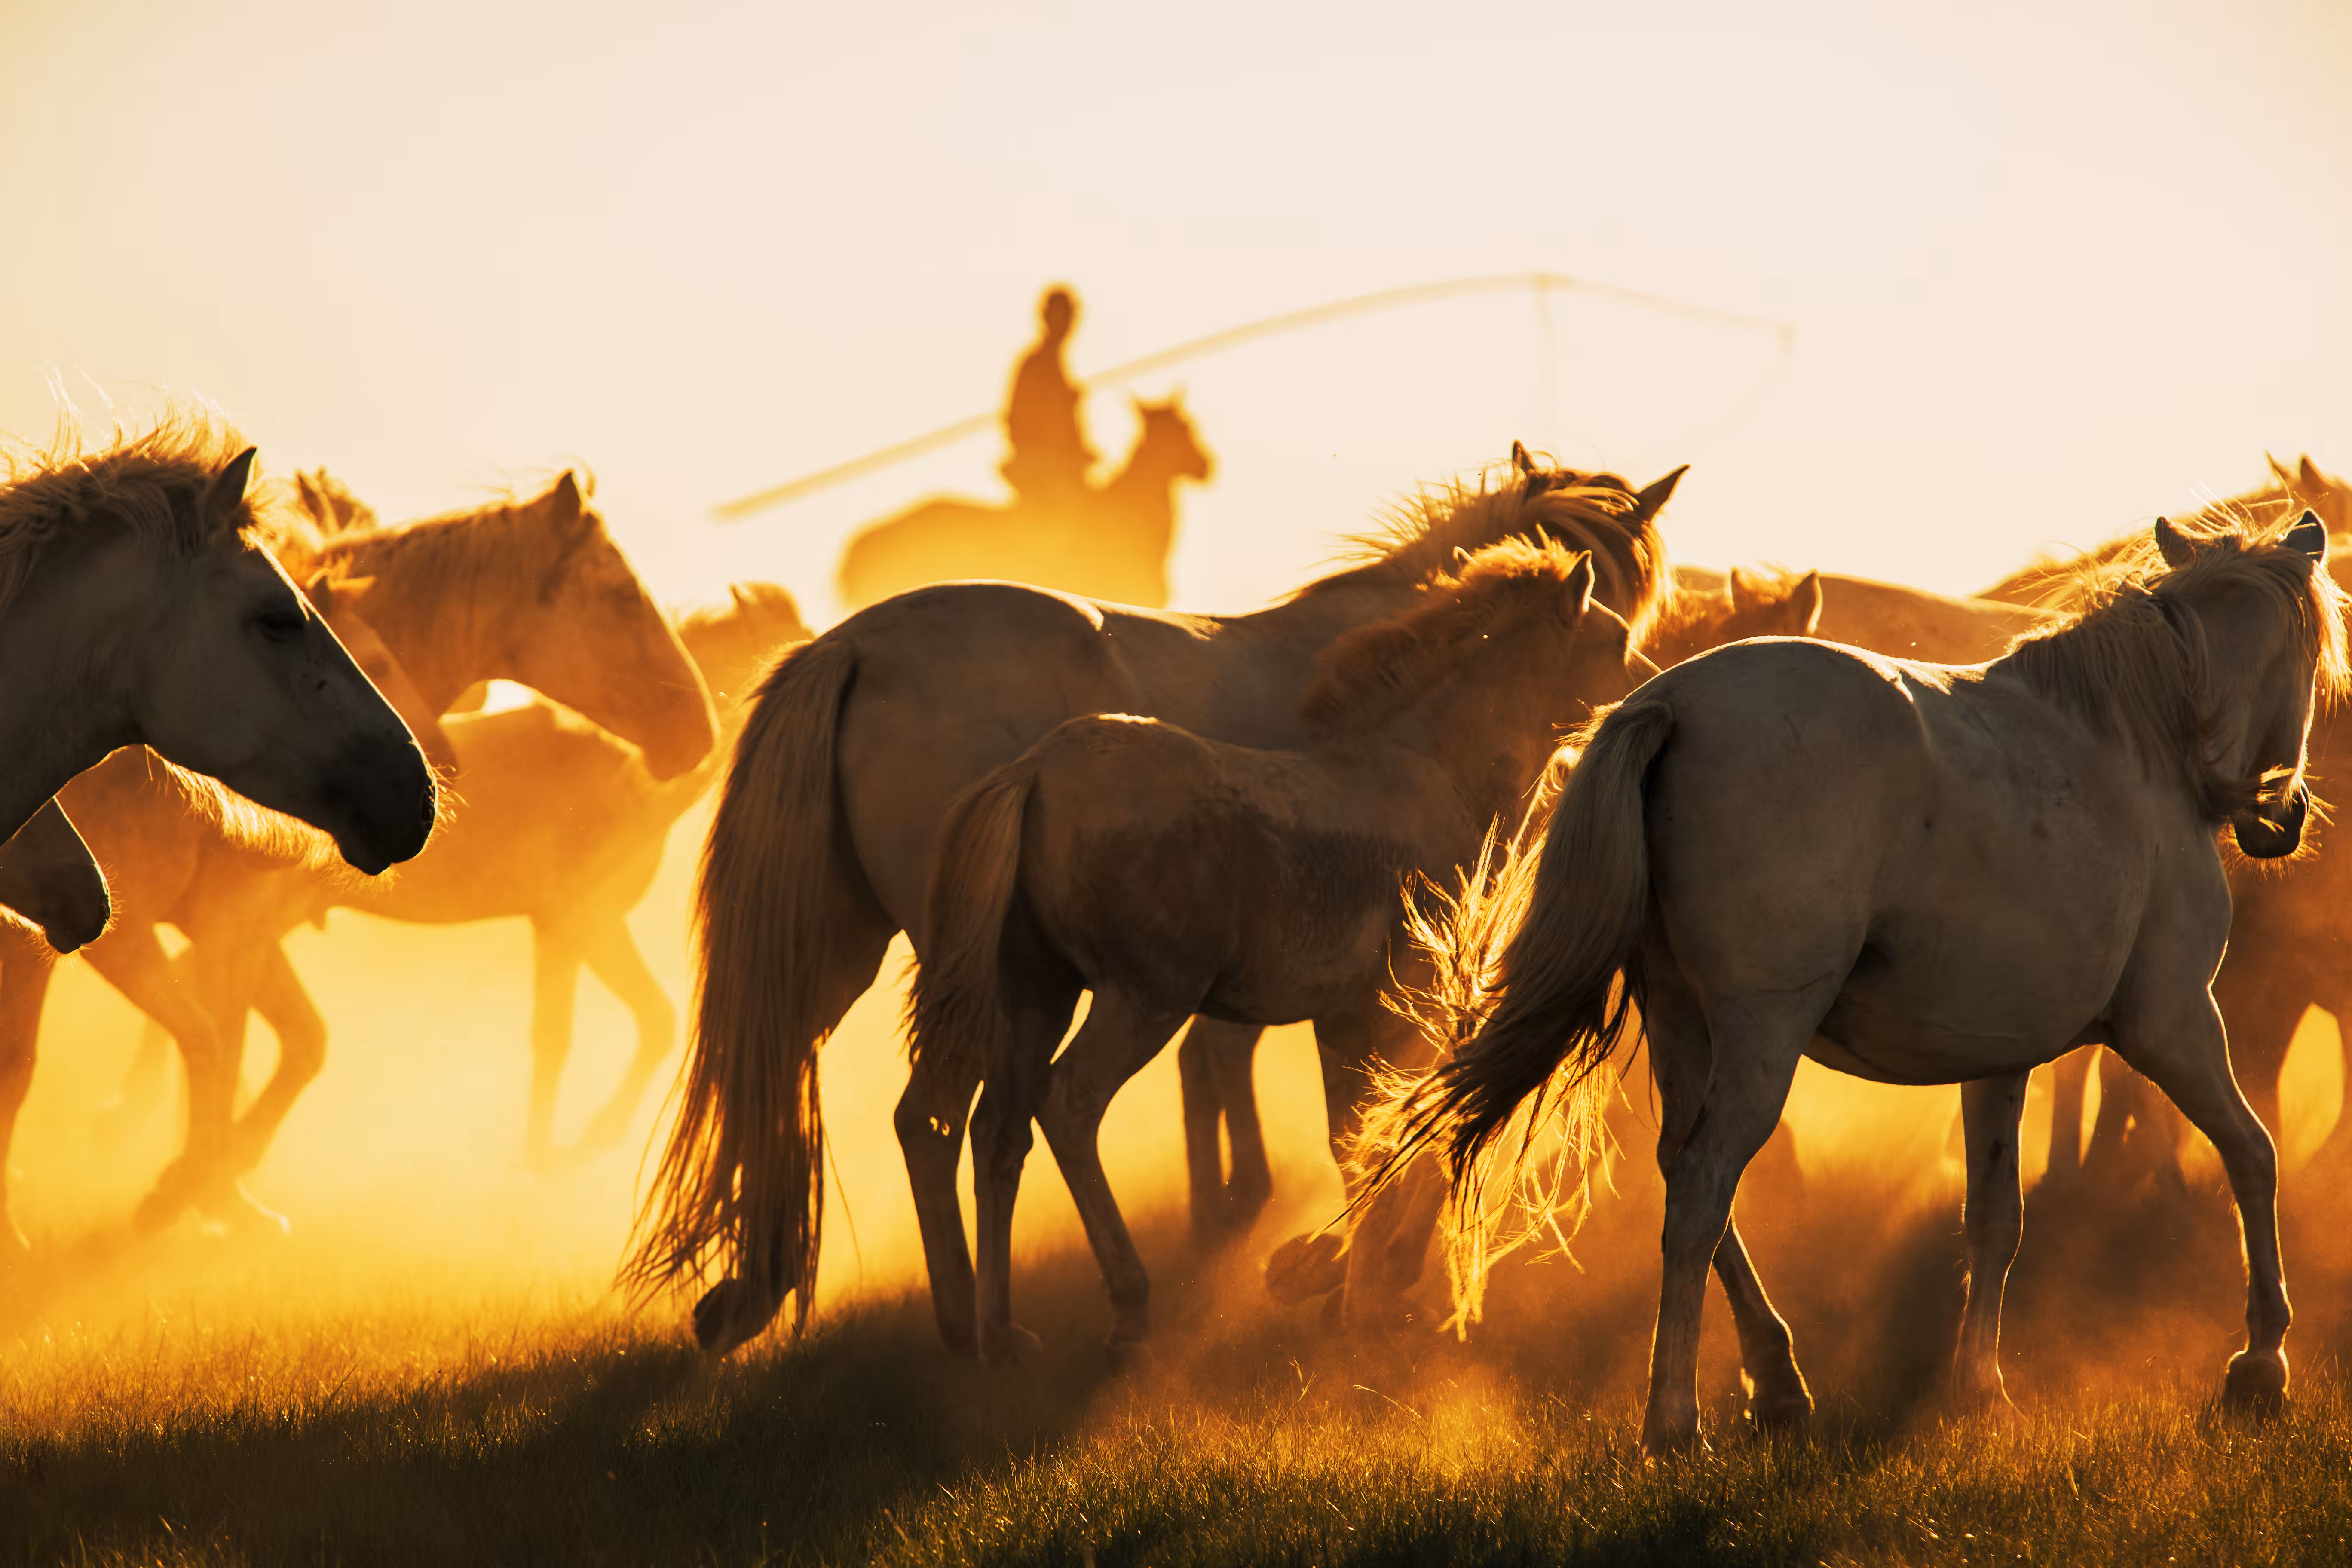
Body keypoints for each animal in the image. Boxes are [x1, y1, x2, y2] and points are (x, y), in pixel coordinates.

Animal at [625, 445, 1685, 1357]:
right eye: (1621, 616)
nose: (1648, 709)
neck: (1408, 749)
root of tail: (849, 647)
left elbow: (1313, 1102)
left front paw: (1293, 1246)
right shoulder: (1377, 987)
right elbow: (1388, 1116)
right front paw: (1347, 1273)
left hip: (875, 952)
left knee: (864, 1093)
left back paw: (890, 1312)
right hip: (997, 973)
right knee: (968, 1112)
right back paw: (1014, 1315)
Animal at [1376, 510, 2343, 1455]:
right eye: (2312, 656)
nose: (2283, 817)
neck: (2136, 748)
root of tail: (1670, 704)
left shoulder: (2001, 1058)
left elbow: (1994, 1217)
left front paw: (1979, 1389)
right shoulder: (2175, 1022)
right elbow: (2253, 1155)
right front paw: (2259, 1364)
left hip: (1683, 1024)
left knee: (1688, 1174)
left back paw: (1776, 1381)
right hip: (1763, 1036)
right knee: (1701, 1190)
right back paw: (1675, 1421)